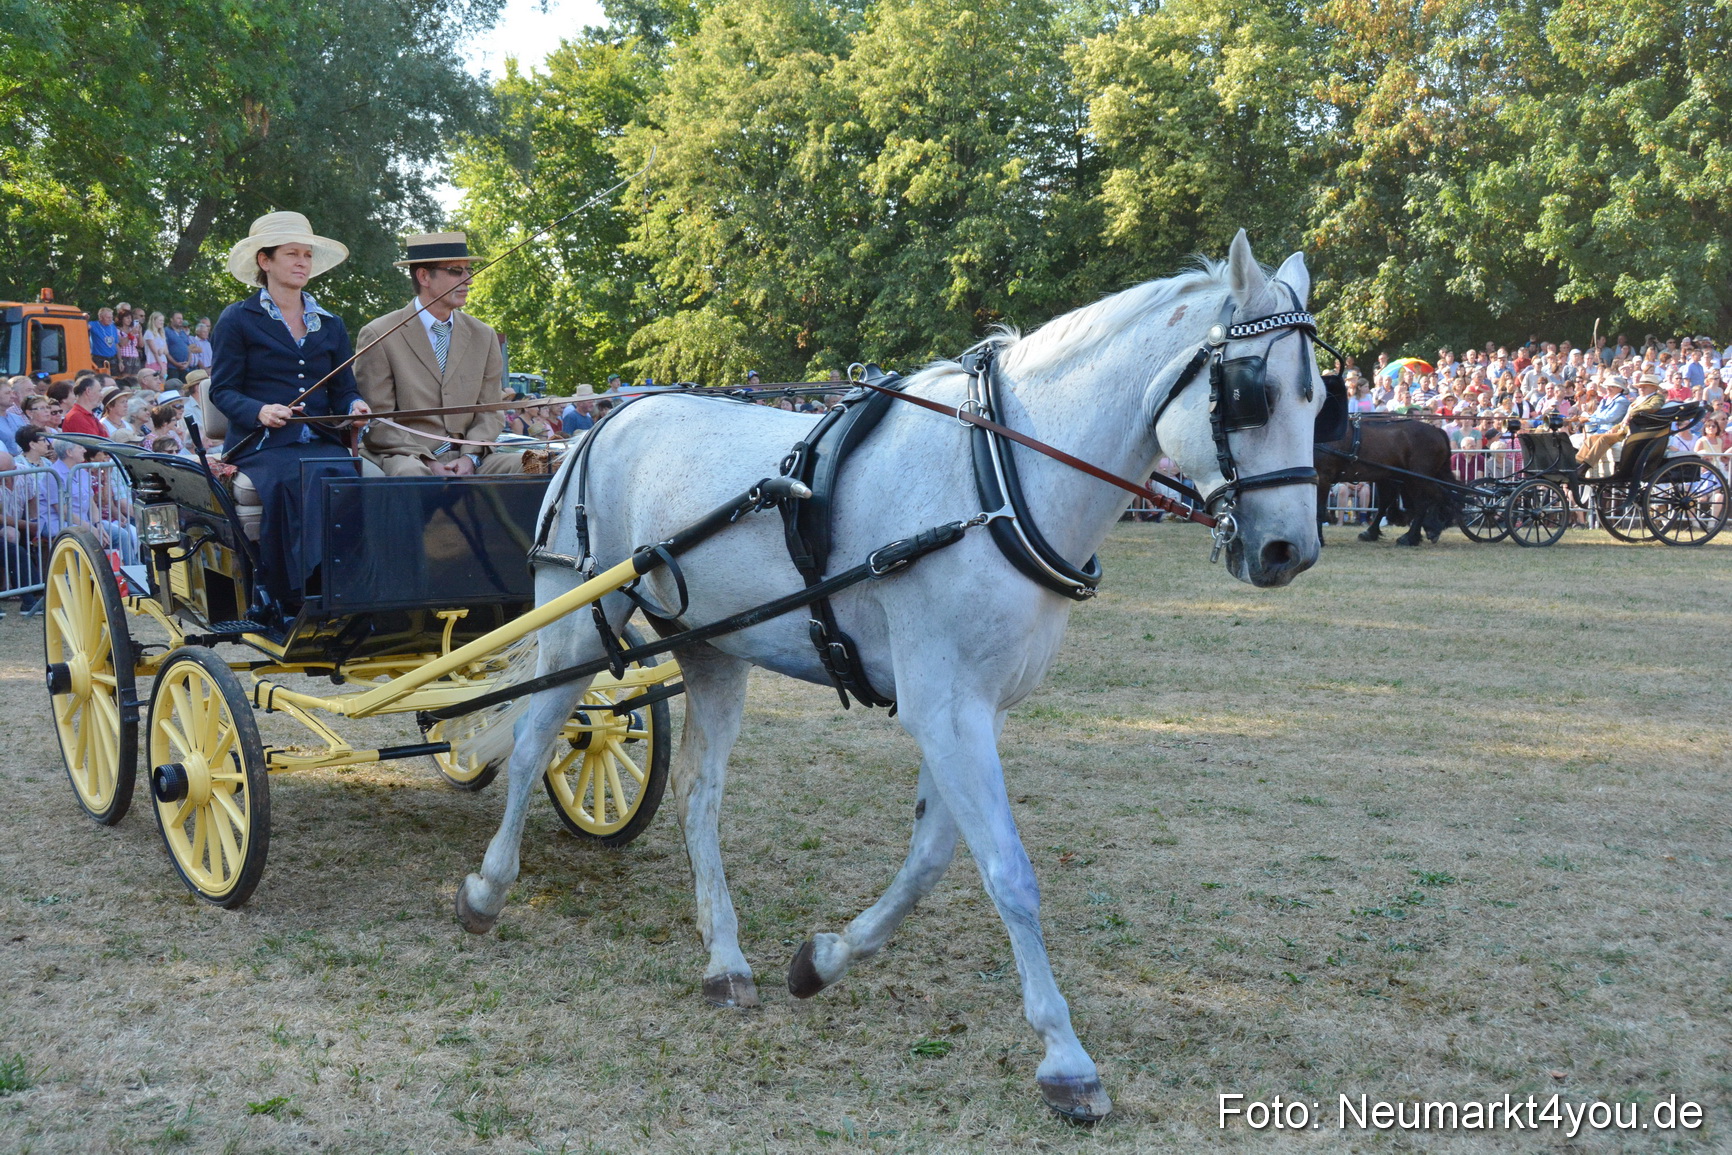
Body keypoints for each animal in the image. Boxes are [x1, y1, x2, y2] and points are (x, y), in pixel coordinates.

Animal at [451, 231, 1326, 1122]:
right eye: (1249, 394)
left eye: (1318, 396)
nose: (1290, 550)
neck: (996, 478)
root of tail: (608, 419)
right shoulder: (945, 707)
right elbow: (1008, 871)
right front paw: (1066, 1058)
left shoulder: (975, 707)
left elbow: (933, 856)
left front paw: (825, 958)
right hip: (573, 619)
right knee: (534, 745)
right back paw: (487, 891)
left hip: (714, 650)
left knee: (698, 794)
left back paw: (725, 959)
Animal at [1314, 416, 1457, 546]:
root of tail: (1436, 430)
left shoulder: (1323, 477)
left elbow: (1319, 509)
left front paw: (1319, 540)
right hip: (1403, 479)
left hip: (1417, 478)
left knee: (1425, 503)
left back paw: (1410, 537)